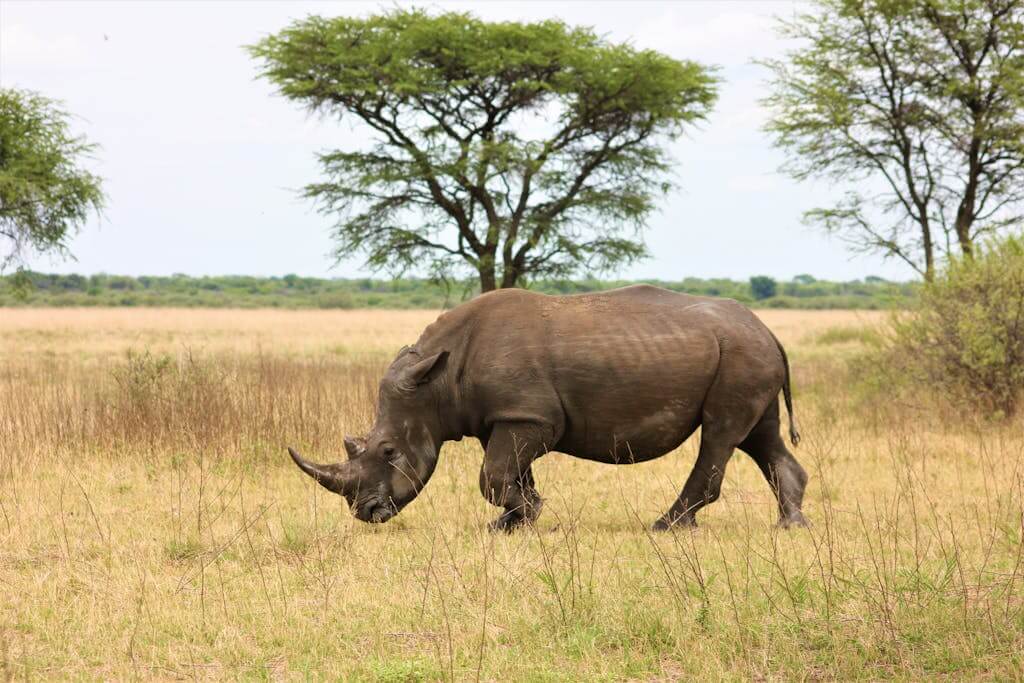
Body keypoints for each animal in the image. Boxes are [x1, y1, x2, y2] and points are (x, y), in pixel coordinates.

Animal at [288, 284, 809, 531]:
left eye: (390, 452)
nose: (367, 513)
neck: (436, 383)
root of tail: (768, 330)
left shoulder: (529, 415)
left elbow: (493, 476)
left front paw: (529, 515)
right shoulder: (508, 416)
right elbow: (510, 474)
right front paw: (512, 522)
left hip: (740, 354)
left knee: (720, 433)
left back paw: (666, 527)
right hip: (746, 354)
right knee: (758, 435)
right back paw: (790, 525)